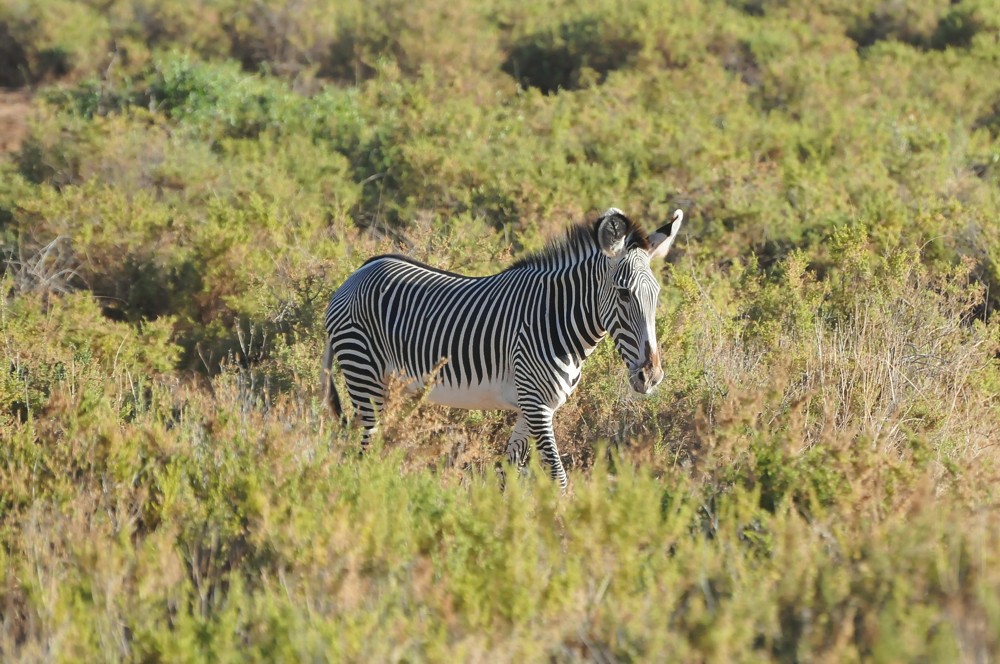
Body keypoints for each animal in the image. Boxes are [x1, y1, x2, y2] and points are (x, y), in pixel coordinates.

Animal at [324, 208, 684, 488]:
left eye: (657, 295)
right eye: (623, 294)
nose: (651, 376)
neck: (555, 317)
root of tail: (356, 274)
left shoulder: (533, 408)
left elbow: (506, 473)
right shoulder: (537, 405)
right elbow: (559, 479)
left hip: (388, 384)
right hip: (363, 371)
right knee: (363, 450)